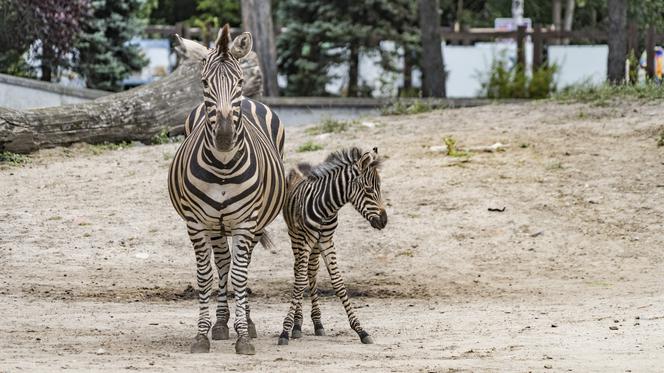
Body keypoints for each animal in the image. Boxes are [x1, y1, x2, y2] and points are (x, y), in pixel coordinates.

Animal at [276, 147, 390, 344]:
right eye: (368, 189)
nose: (384, 221)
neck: (327, 207)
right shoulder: (307, 239)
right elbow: (299, 282)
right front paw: (285, 330)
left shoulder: (326, 240)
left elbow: (337, 281)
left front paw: (360, 330)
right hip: (296, 236)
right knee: (298, 270)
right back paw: (297, 325)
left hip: (314, 245)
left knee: (311, 271)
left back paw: (317, 323)